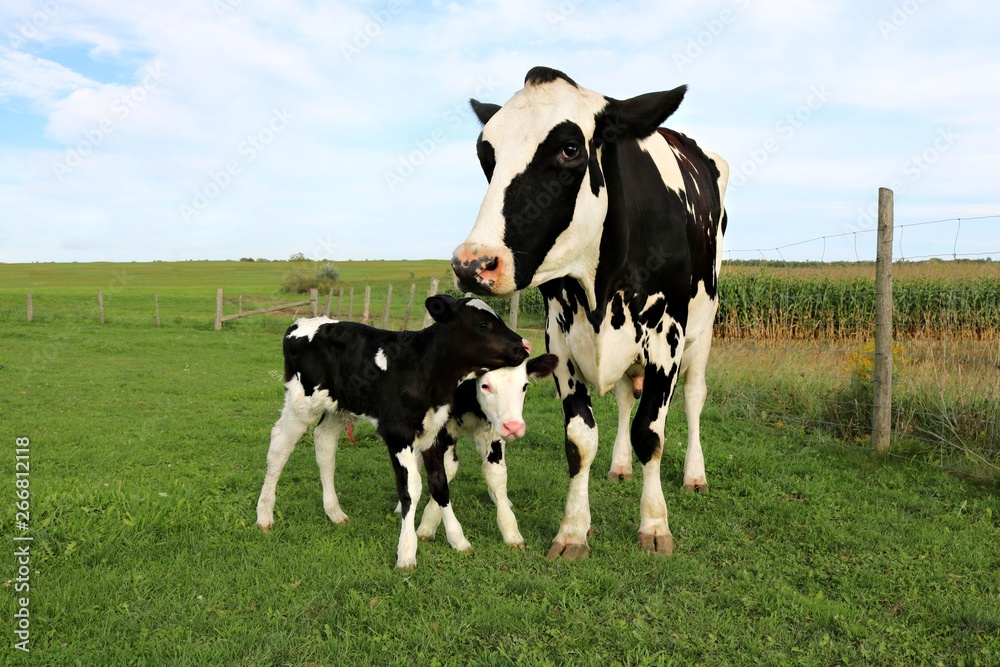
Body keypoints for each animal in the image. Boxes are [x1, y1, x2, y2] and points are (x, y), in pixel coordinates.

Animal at [452, 68, 728, 560]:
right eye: (487, 154)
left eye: (569, 148)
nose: (472, 264)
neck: (598, 286)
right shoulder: (560, 338)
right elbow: (580, 441)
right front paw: (573, 530)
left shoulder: (667, 337)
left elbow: (650, 432)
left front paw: (654, 525)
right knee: (622, 398)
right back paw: (619, 467)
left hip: (704, 328)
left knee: (694, 397)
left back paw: (695, 475)